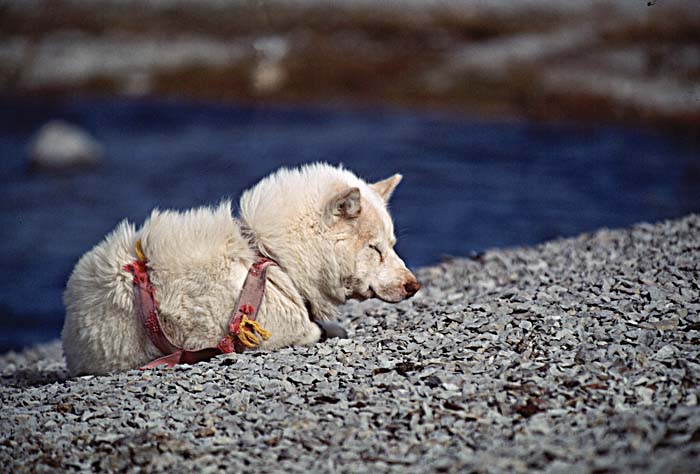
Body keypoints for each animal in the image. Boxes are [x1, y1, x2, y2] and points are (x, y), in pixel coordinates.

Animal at [61, 163, 422, 374]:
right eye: (375, 248)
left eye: (391, 244)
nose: (414, 286)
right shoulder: (284, 331)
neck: (269, 255)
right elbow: (321, 331)